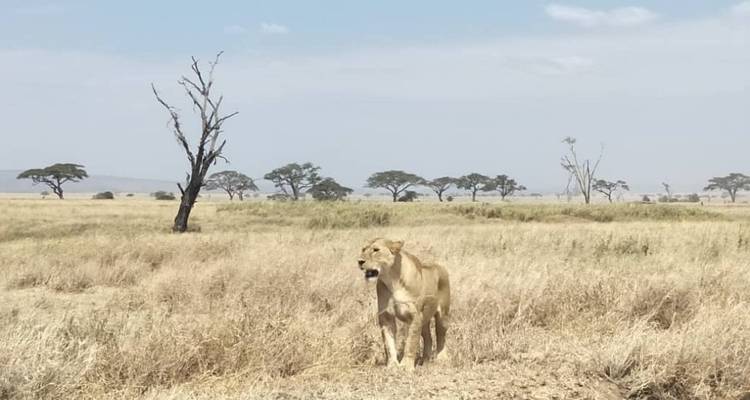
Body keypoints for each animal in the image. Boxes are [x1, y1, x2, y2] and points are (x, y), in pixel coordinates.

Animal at [358, 238, 451, 370]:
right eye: (363, 249)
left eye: (376, 250)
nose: (360, 261)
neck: (392, 280)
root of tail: (439, 265)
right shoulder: (386, 316)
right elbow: (388, 343)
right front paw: (392, 365)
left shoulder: (415, 316)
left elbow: (411, 342)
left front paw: (406, 366)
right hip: (424, 319)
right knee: (428, 337)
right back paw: (425, 361)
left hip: (442, 315)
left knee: (441, 335)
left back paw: (442, 359)